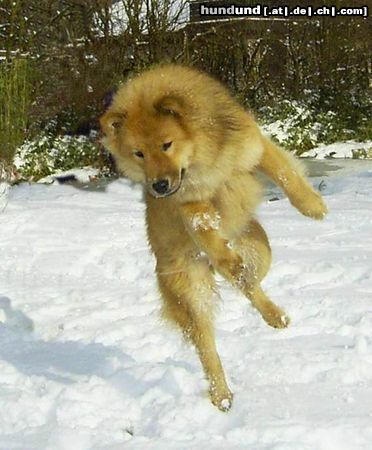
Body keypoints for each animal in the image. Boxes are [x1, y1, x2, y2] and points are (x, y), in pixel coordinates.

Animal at [99, 64, 328, 412]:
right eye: (139, 153)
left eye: (166, 144)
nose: (159, 187)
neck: (200, 157)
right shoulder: (191, 204)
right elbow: (205, 230)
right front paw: (225, 256)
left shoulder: (253, 148)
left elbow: (286, 175)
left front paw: (313, 207)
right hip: (193, 295)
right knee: (208, 350)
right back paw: (221, 396)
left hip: (260, 250)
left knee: (251, 286)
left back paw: (272, 313)